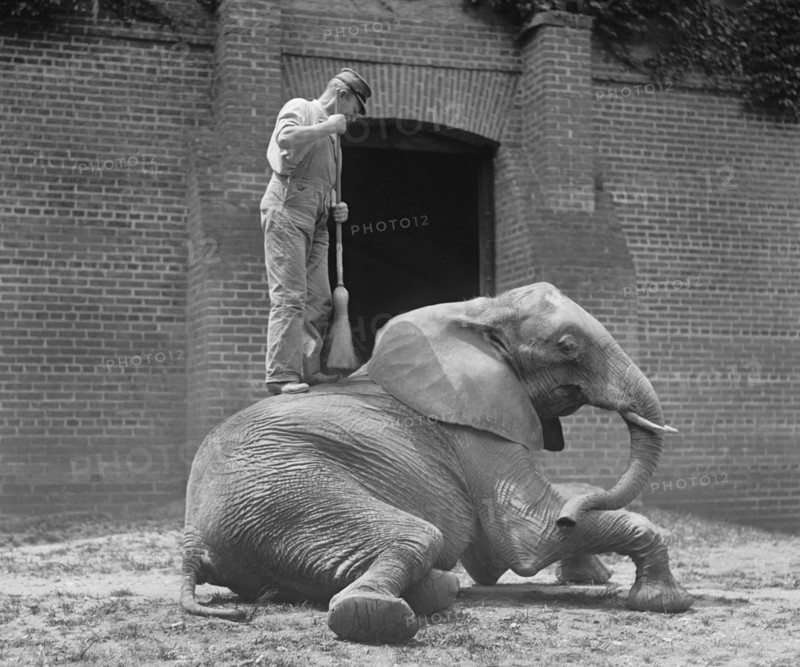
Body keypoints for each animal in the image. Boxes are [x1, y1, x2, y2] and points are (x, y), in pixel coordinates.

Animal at [181, 282, 693, 643]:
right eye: (567, 347)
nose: (573, 519)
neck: (479, 312)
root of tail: (193, 544)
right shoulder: (472, 429)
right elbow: (529, 538)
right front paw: (666, 602)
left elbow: (503, 551)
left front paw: (588, 572)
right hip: (288, 495)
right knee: (418, 536)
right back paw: (384, 613)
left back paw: (440, 589)